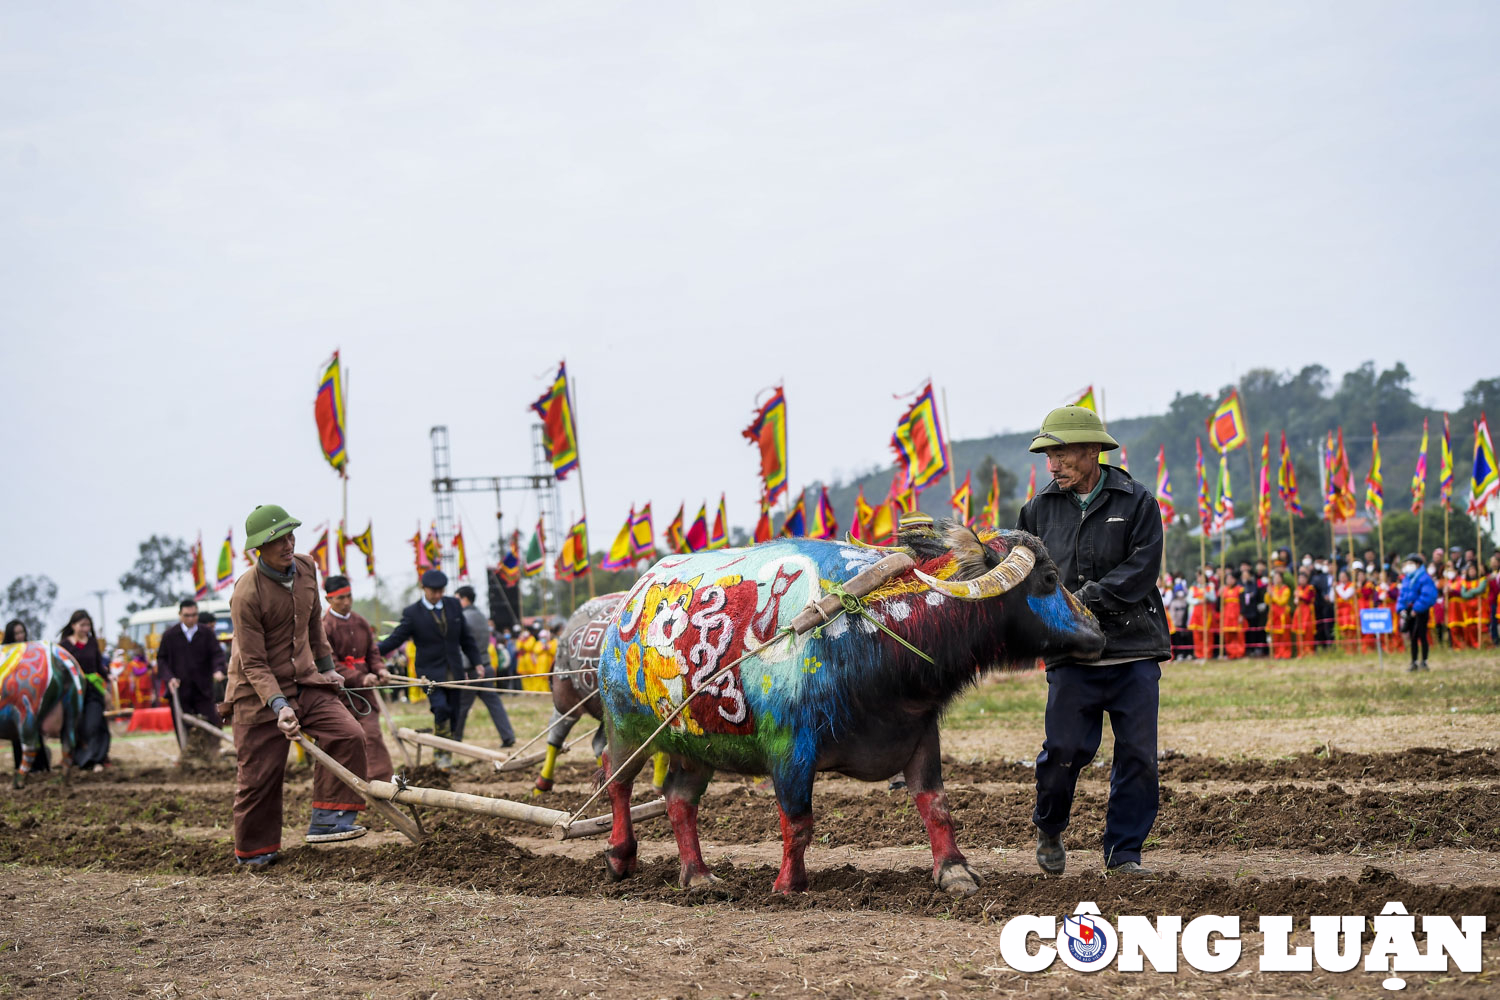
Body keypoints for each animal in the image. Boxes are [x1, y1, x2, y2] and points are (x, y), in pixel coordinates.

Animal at [0, 641, 84, 791]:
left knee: (31, 746)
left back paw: (17, 782)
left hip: (26, 712)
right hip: (72, 711)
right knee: (68, 744)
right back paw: (61, 781)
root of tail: (58, 655)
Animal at [594, 521, 1104, 893]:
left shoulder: (919, 734)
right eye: (1049, 579)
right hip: (625, 728)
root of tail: (626, 607)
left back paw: (698, 876)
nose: (1098, 633)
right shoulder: (789, 749)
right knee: (616, 783)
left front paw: (955, 872)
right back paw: (620, 857)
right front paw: (788, 885)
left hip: (697, 743)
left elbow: (936, 806)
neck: (871, 630)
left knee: (679, 801)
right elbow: (798, 822)